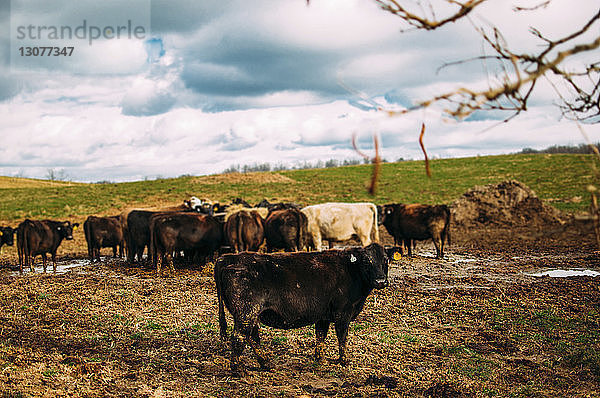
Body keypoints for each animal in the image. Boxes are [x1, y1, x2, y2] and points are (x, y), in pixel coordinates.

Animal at [216, 243, 394, 374]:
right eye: (366, 261)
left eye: (386, 260)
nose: (380, 281)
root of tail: (229, 257)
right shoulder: (343, 313)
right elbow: (342, 338)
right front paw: (345, 361)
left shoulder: (323, 315)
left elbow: (321, 336)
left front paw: (320, 359)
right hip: (246, 312)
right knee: (239, 337)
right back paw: (238, 370)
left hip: (250, 315)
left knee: (252, 337)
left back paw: (266, 364)